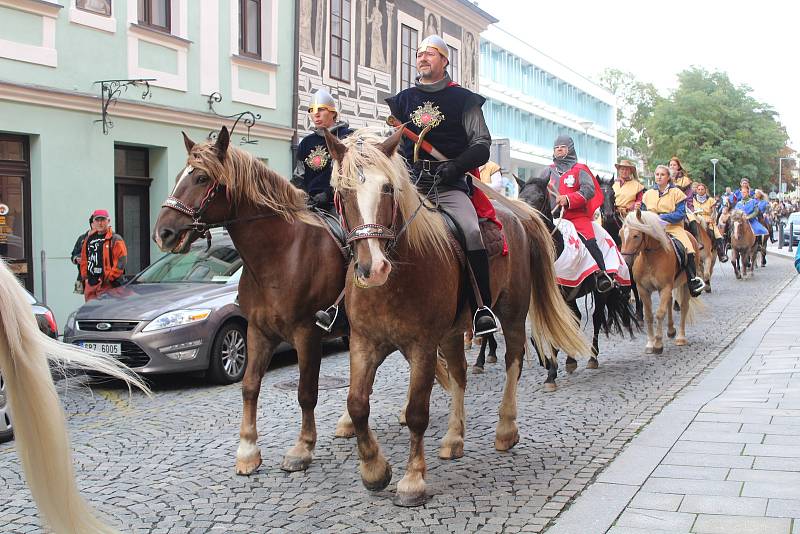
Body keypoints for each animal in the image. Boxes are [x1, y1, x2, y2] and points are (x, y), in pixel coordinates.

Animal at [324, 127, 588, 508]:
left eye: (388, 188)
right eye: (343, 192)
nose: (373, 268)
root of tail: (518, 214)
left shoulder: (421, 346)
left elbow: (417, 411)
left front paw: (412, 480)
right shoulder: (364, 342)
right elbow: (357, 403)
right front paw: (374, 470)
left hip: (511, 314)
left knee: (514, 360)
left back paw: (506, 429)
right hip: (452, 332)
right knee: (460, 375)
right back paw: (453, 438)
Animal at [520, 178, 636, 392]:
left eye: (540, 197)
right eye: (521, 196)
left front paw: (551, 373)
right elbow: (535, 336)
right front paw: (547, 363)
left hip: (601, 292)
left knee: (596, 318)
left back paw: (592, 357)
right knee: (576, 319)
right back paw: (570, 360)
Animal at [620, 210, 700, 356]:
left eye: (636, 235)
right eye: (620, 234)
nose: (625, 262)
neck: (650, 258)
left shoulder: (665, 288)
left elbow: (659, 313)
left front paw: (657, 344)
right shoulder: (643, 289)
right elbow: (649, 315)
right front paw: (650, 343)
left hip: (685, 284)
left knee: (684, 307)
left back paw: (680, 337)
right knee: (669, 302)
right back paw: (670, 330)